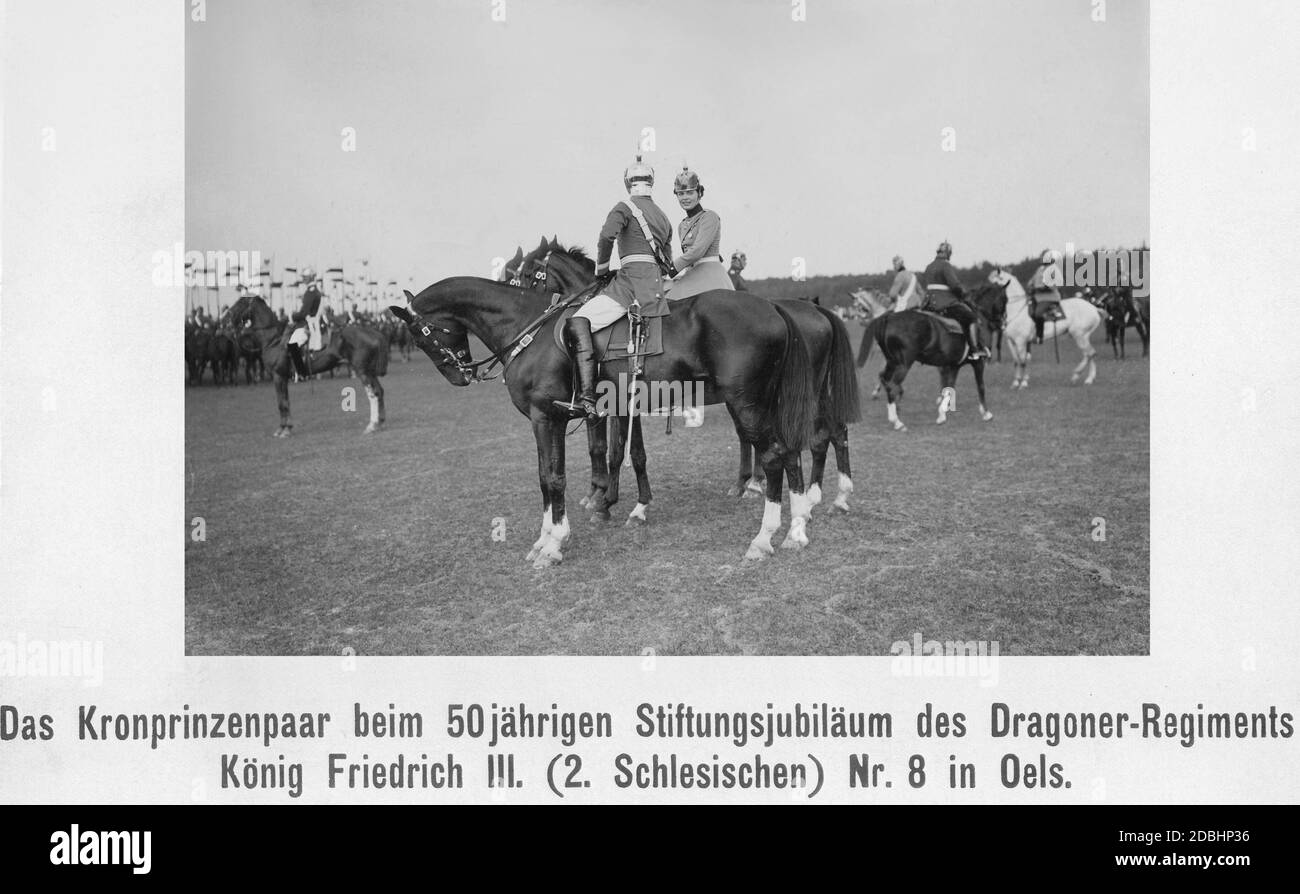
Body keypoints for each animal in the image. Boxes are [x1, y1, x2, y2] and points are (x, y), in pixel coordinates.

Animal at [228, 294, 390, 439]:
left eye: (239, 304)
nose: (229, 320)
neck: (273, 339)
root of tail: (373, 332)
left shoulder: (278, 376)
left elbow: (281, 403)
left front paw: (283, 430)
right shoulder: (283, 378)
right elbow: (286, 402)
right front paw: (286, 428)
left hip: (362, 371)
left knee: (373, 394)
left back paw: (372, 425)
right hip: (369, 372)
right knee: (380, 391)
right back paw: (380, 423)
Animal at [387, 278, 811, 566]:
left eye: (419, 335)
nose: (460, 375)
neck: (530, 329)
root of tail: (773, 308)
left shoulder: (547, 418)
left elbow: (553, 478)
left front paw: (554, 543)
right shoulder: (557, 420)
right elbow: (551, 476)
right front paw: (547, 538)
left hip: (747, 405)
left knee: (773, 457)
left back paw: (763, 539)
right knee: (789, 453)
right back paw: (796, 531)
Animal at [514, 237, 863, 514]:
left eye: (527, 273)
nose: (533, 321)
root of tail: (805, 311)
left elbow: (605, 450)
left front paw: (600, 495)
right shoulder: (622, 403)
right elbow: (623, 450)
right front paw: (616, 497)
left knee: (819, 435)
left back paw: (813, 495)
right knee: (824, 433)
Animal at [857, 298, 987, 431]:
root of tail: (888, 318)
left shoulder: (953, 366)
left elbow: (949, 388)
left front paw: (942, 414)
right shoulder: (977, 363)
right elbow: (980, 386)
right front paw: (986, 413)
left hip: (892, 362)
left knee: (885, 380)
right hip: (903, 364)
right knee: (892, 385)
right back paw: (897, 422)